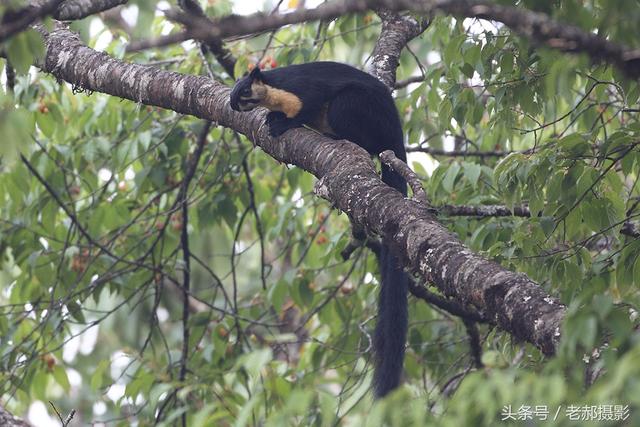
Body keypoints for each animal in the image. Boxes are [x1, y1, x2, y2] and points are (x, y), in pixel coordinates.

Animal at [231, 61, 410, 398]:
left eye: (245, 90)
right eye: (234, 92)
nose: (233, 105)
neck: (274, 94)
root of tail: (397, 136)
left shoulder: (303, 91)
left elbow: (308, 105)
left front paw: (282, 123)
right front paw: (272, 119)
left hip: (352, 106)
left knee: (364, 137)